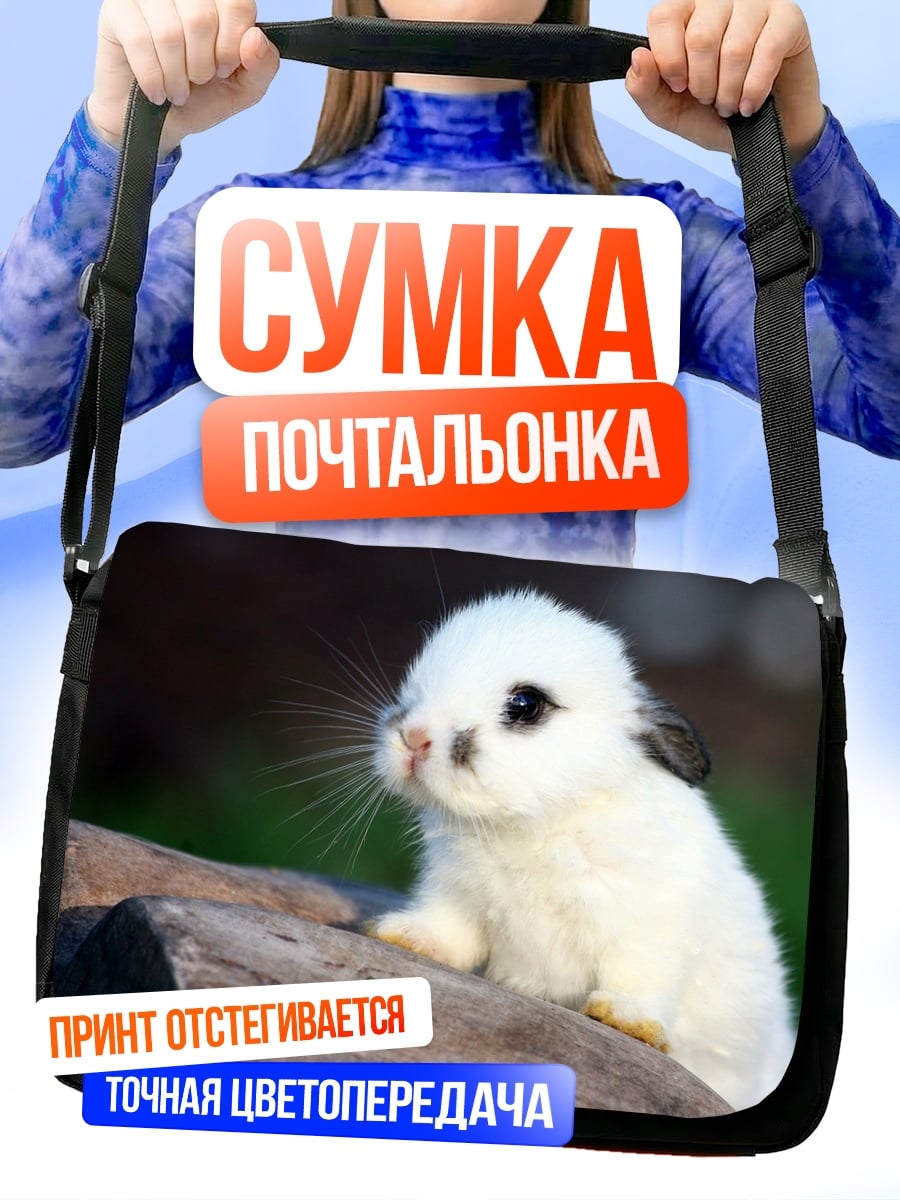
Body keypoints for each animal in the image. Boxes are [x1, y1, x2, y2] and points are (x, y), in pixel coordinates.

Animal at [368, 588, 795, 1110]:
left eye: (526, 704)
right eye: (419, 679)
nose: (413, 738)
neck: (535, 822)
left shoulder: (651, 927)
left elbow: (639, 975)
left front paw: (624, 1019)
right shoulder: (456, 897)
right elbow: (448, 932)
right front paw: (403, 936)